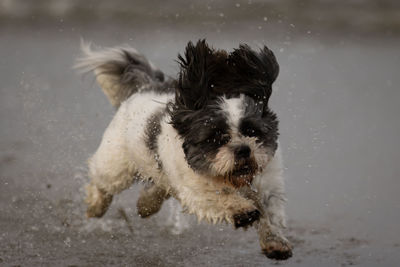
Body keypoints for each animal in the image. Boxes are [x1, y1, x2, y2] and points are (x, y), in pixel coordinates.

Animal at [76, 40, 294, 260]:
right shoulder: (194, 187)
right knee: (103, 182)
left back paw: (147, 203)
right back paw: (96, 206)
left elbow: (269, 211)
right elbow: (217, 197)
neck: (231, 180)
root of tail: (145, 86)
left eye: (252, 131)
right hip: (116, 165)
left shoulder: (267, 182)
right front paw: (242, 210)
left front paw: (275, 242)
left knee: (157, 185)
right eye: (216, 137)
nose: (243, 149)